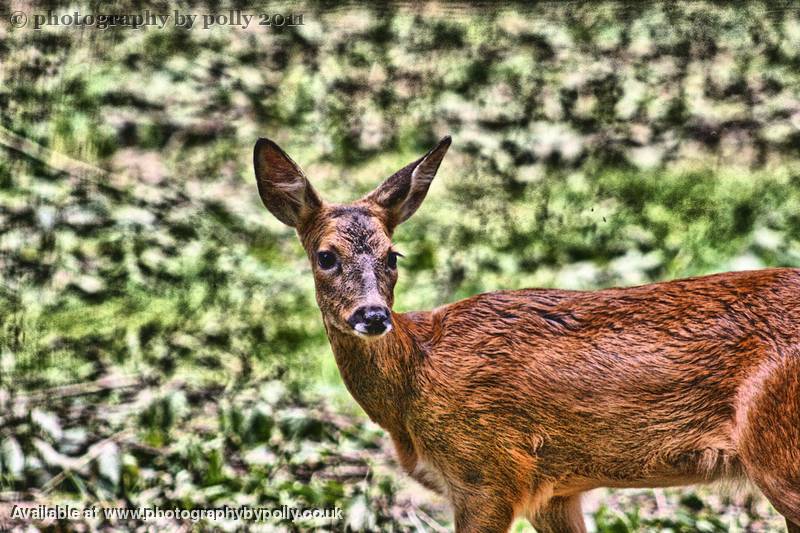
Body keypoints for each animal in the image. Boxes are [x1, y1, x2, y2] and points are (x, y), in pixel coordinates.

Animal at [255, 135, 800, 528]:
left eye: (393, 256)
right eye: (326, 256)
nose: (372, 316)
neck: (414, 383)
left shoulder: (489, 473)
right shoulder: (553, 492)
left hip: (777, 449)